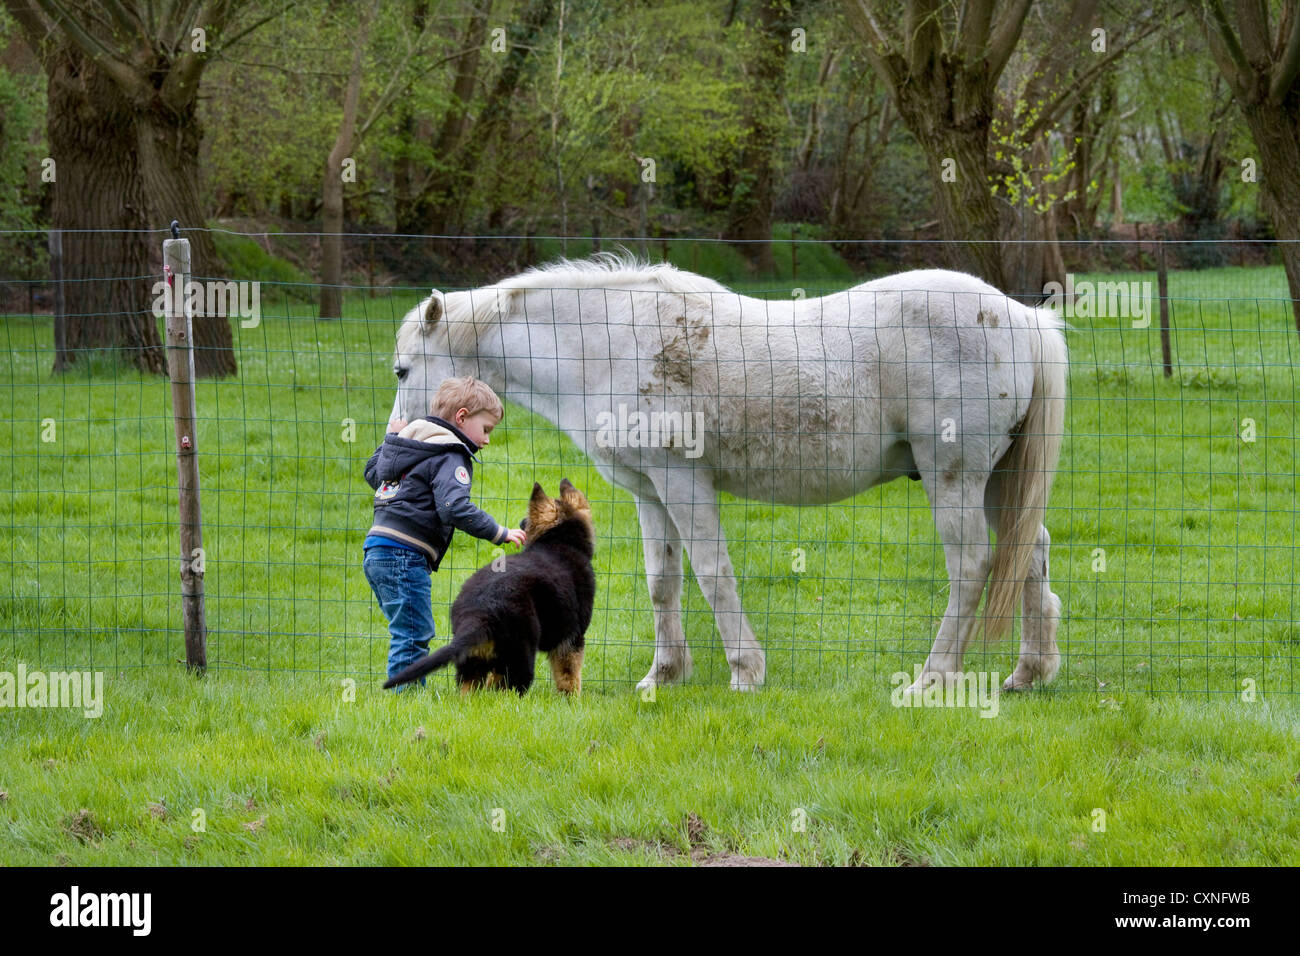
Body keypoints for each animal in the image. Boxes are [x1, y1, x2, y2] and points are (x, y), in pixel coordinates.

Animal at [379, 478, 595, 697]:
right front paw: (571, 700)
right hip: (521, 654)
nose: (521, 524)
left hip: (476, 656)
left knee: (472, 689)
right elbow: (569, 676)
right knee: (510, 689)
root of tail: (480, 612)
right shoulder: (572, 638)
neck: (560, 542)